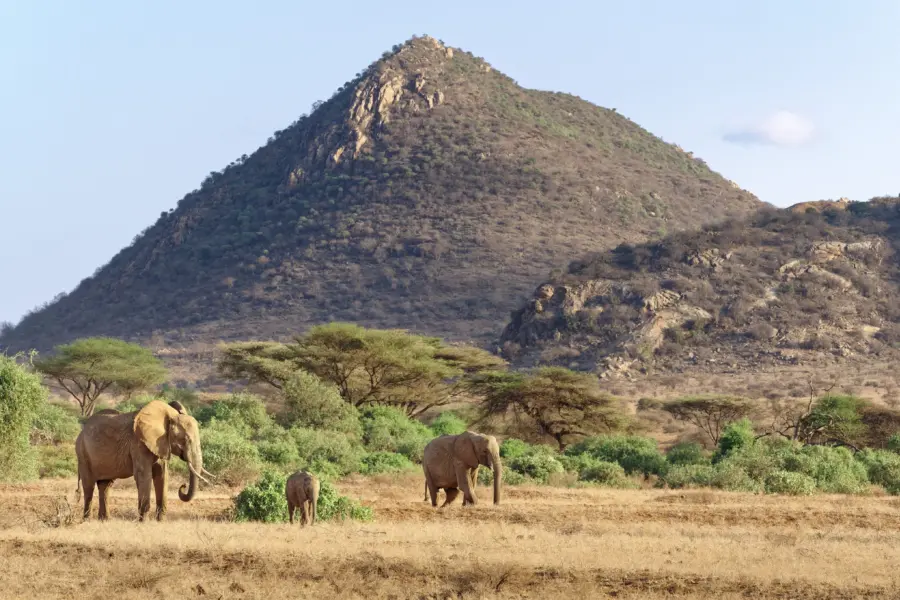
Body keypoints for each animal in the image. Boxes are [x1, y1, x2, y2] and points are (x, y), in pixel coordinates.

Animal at [74, 399, 210, 522]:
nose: (183, 486)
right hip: (82, 453)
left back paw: (105, 520)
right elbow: (143, 475)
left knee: (105, 485)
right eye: (186, 439)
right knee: (89, 486)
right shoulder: (138, 444)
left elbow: (162, 475)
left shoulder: (161, 445)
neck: (168, 416)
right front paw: (143, 521)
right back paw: (87, 520)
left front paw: (160, 521)